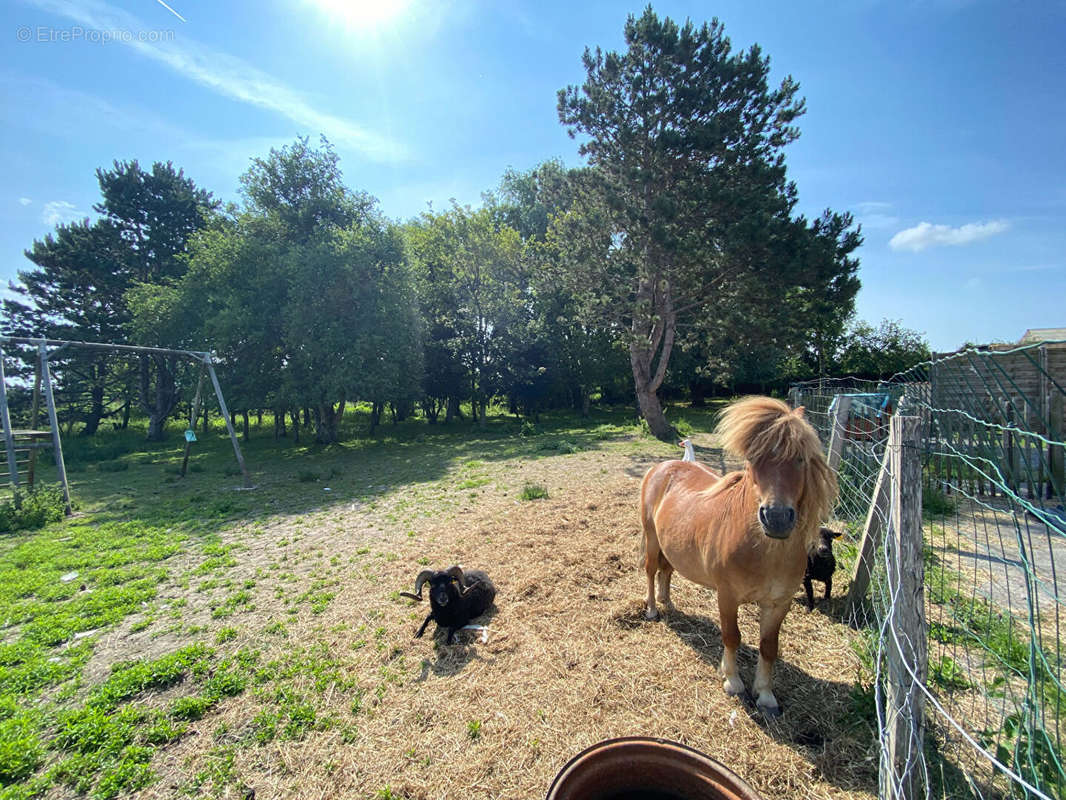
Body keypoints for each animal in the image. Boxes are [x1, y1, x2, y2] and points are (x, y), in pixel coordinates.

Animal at [635, 398, 835, 716]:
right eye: (753, 459)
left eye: (801, 458)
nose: (776, 517)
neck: (766, 553)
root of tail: (664, 466)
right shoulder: (727, 596)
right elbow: (732, 636)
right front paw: (732, 681)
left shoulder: (779, 604)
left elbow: (769, 646)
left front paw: (765, 694)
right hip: (652, 539)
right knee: (652, 571)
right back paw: (654, 609)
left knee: (667, 571)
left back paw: (668, 601)